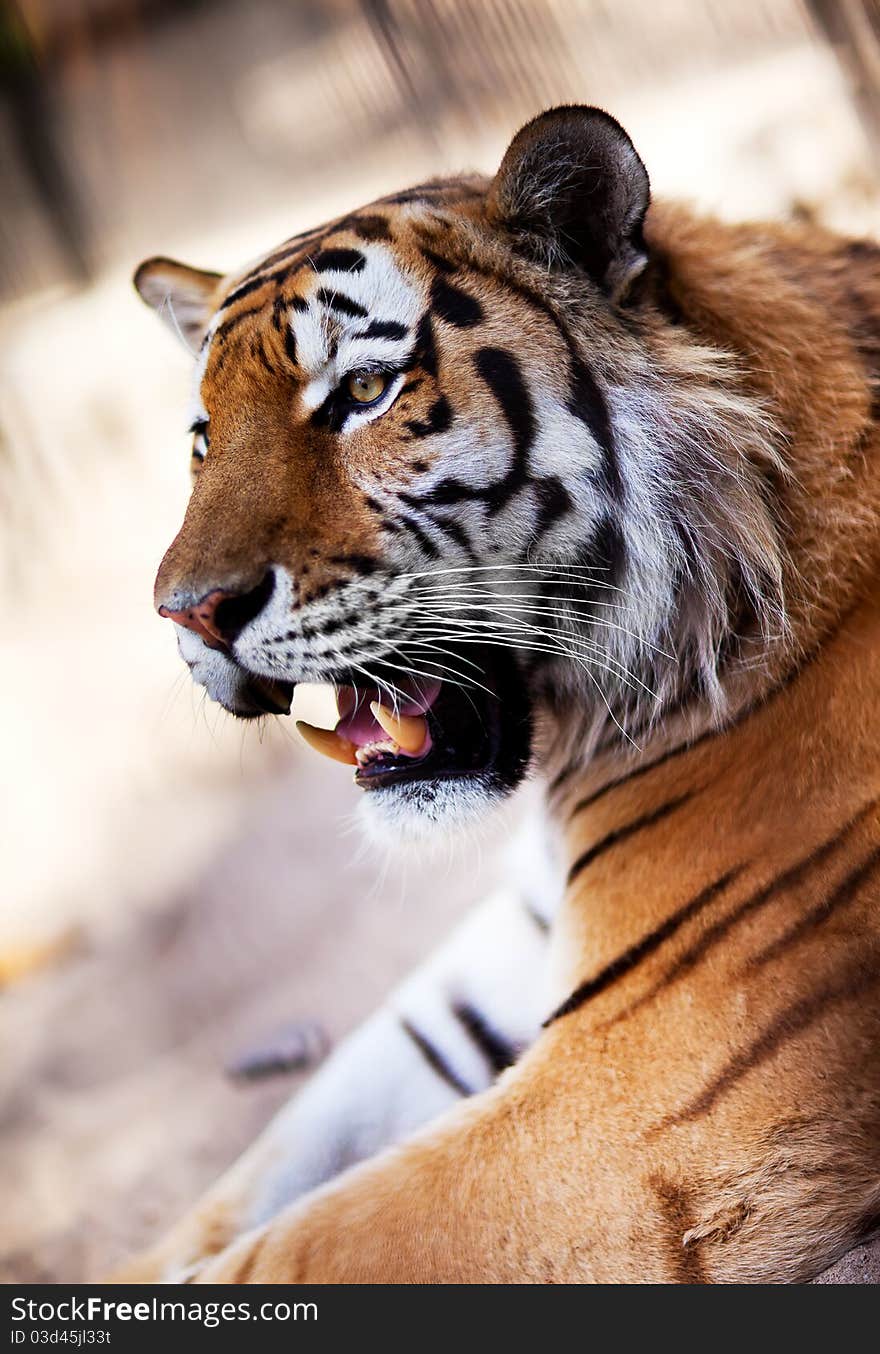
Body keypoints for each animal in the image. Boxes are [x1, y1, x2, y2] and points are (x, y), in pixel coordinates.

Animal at [121, 105, 877, 1278]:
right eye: (204, 439)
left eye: (362, 393)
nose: (187, 613)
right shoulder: (504, 959)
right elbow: (245, 1181)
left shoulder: (644, 1094)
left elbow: (297, 1248)